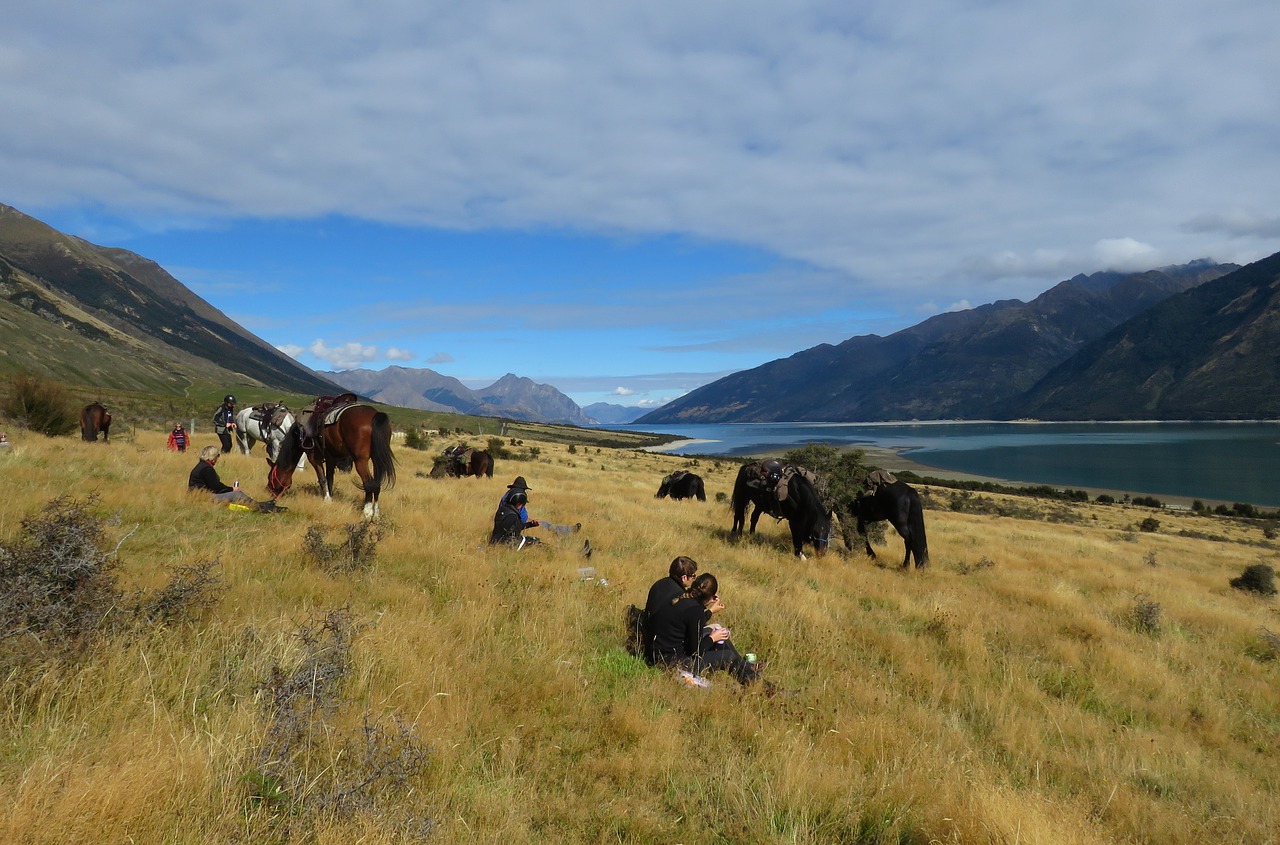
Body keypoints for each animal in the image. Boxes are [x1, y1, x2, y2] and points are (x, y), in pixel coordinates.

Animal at [264, 407, 394, 517]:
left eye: (270, 477)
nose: (268, 492)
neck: (299, 433)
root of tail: (375, 415)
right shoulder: (331, 457)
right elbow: (330, 478)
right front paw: (331, 497)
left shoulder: (313, 457)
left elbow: (322, 478)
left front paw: (327, 499)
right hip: (377, 459)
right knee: (377, 484)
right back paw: (376, 513)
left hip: (360, 461)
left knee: (368, 483)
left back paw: (367, 512)